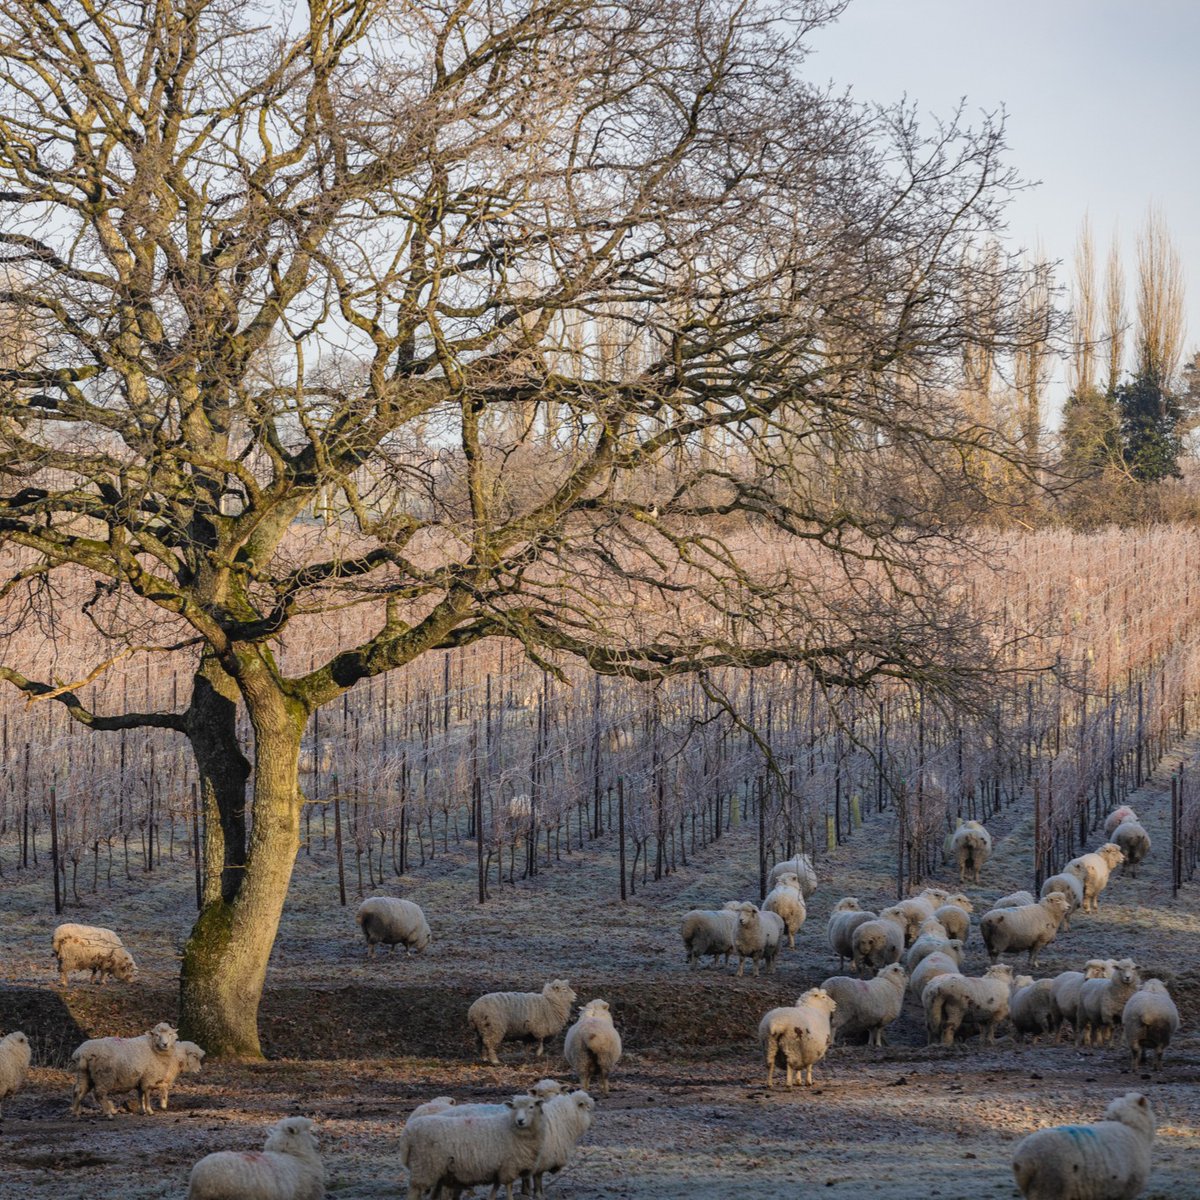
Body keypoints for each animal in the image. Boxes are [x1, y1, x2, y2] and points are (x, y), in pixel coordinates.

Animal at [402, 1094, 546, 1200]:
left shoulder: (499, 1167)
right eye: (514, 1108)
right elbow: (508, 1186)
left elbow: (496, 1187)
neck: (510, 1126)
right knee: (414, 1192)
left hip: (437, 1170)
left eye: (531, 1107)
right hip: (424, 1167)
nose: (520, 1121)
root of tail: (408, 1131)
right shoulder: (509, 1165)